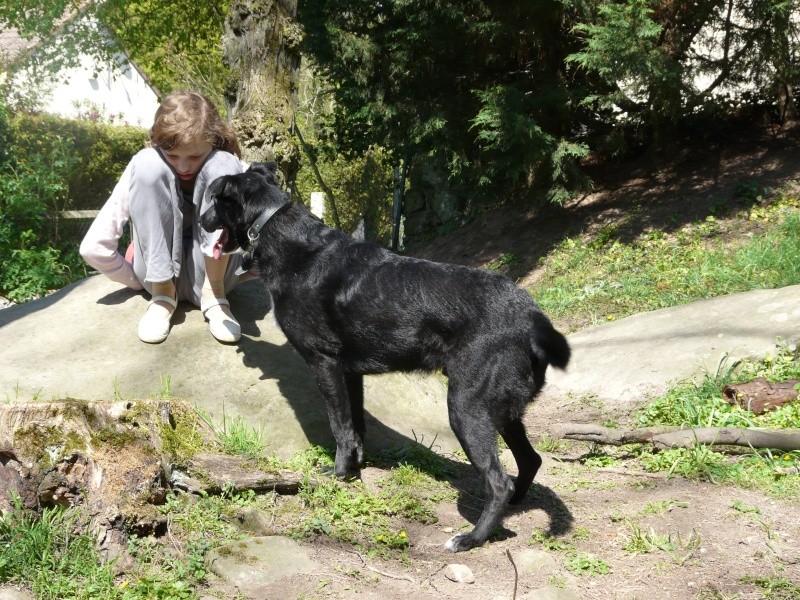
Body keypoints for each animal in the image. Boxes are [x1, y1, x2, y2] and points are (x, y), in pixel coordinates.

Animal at [203, 162, 572, 552]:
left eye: (215, 201)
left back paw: (472, 538)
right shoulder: (351, 373)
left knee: (499, 482)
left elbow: (340, 426)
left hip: (467, 408)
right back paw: (515, 504)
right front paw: (355, 468)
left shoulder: (324, 363)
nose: (200, 220)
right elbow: (355, 427)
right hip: (503, 411)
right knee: (530, 461)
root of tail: (530, 315)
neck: (281, 234)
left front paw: (338, 474)